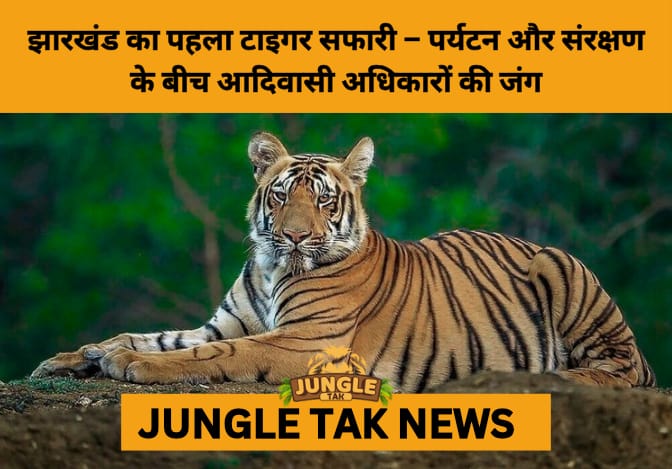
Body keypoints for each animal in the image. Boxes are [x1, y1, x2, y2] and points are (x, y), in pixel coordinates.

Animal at [31, 132, 656, 390]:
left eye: (325, 200)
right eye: (282, 196)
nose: (294, 236)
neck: (271, 267)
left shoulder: (303, 340)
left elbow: (210, 354)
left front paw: (131, 366)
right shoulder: (226, 321)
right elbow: (152, 335)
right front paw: (77, 357)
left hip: (564, 273)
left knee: (622, 370)